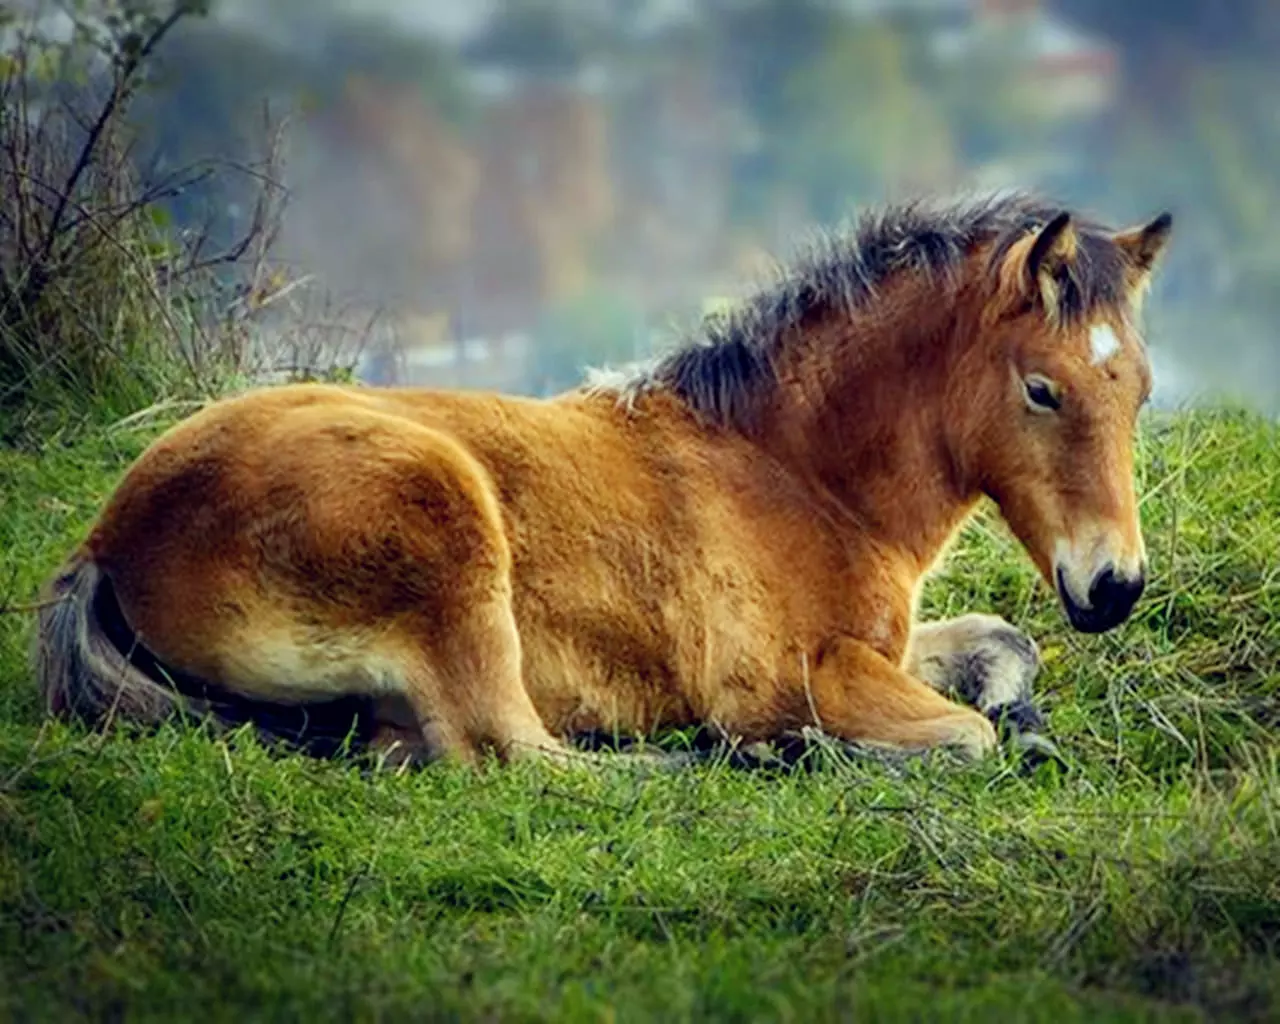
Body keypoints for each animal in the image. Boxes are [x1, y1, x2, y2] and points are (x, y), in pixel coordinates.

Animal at [32, 192, 1172, 768]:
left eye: (1140, 389)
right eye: (1042, 389)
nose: (1112, 589)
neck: (790, 471)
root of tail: (109, 539)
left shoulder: (885, 645)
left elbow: (1003, 645)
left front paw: (1024, 713)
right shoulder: (796, 675)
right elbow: (964, 737)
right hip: (449, 536)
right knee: (516, 756)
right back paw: (741, 759)